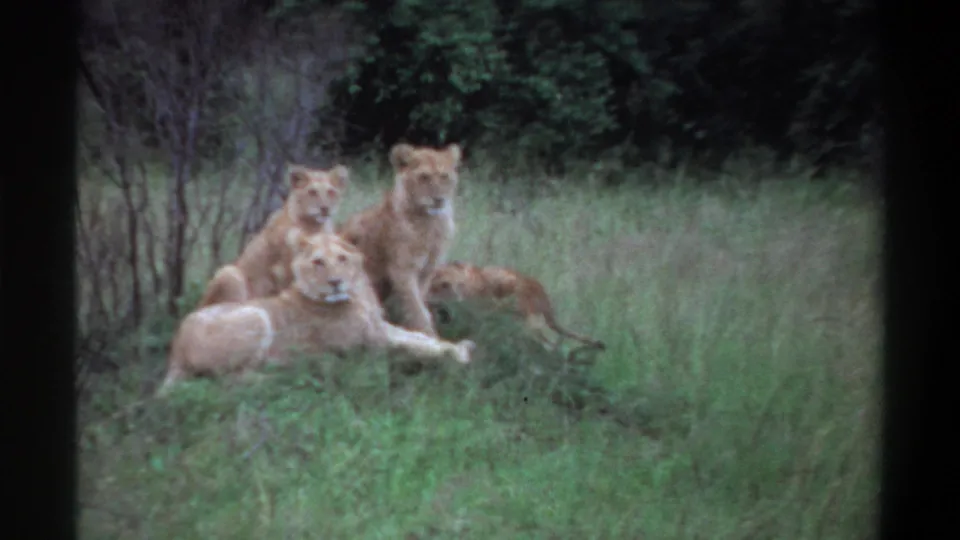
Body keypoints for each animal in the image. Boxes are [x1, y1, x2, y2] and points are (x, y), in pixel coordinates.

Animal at [157, 230, 476, 396]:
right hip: (255, 314)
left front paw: (459, 346)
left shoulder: (380, 327)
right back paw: (295, 372)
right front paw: (457, 356)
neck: (358, 294)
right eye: (318, 262)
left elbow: (420, 337)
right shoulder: (370, 344)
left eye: (342, 259)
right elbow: (415, 348)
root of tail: (174, 350)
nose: (335, 282)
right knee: (229, 381)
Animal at [196, 164, 349, 309]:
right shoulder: (283, 269)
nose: (325, 209)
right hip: (229, 273)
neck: (314, 226)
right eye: (312, 192)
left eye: (331, 192)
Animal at [336, 143, 463, 337]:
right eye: (424, 177)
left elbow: (419, 304)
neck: (430, 222)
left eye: (444, 177)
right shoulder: (402, 270)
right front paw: (429, 336)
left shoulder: (427, 270)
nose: (439, 200)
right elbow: (418, 310)